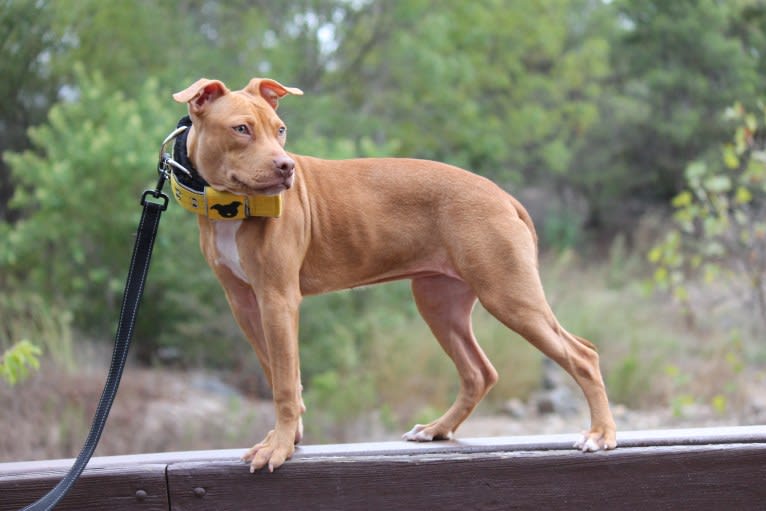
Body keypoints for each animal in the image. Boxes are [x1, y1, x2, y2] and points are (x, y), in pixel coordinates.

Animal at [172, 78, 616, 474]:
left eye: (280, 130)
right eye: (241, 129)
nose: (286, 166)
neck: (229, 205)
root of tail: (504, 197)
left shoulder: (278, 298)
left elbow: (283, 381)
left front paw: (278, 447)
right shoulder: (247, 304)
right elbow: (279, 373)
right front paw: (288, 438)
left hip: (509, 294)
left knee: (582, 355)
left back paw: (600, 434)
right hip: (439, 301)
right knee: (479, 372)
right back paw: (438, 429)